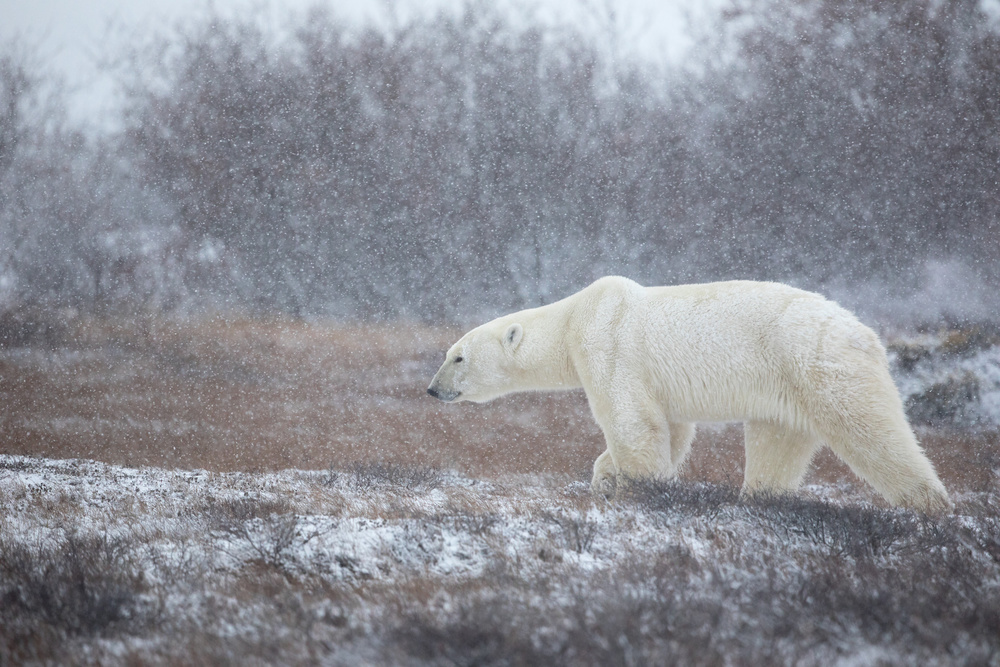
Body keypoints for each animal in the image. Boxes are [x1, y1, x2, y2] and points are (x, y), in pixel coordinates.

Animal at [428, 276, 952, 514]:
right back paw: (758, 502)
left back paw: (931, 508)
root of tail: (869, 335)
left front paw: (638, 492)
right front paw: (604, 479)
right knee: (777, 444)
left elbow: (633, 424)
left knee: (873, 434)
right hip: (787, 390)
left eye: (458, 357)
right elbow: (671, 428)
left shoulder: (607, 345)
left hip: (820, 366)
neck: (574, 316)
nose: (432, 389)